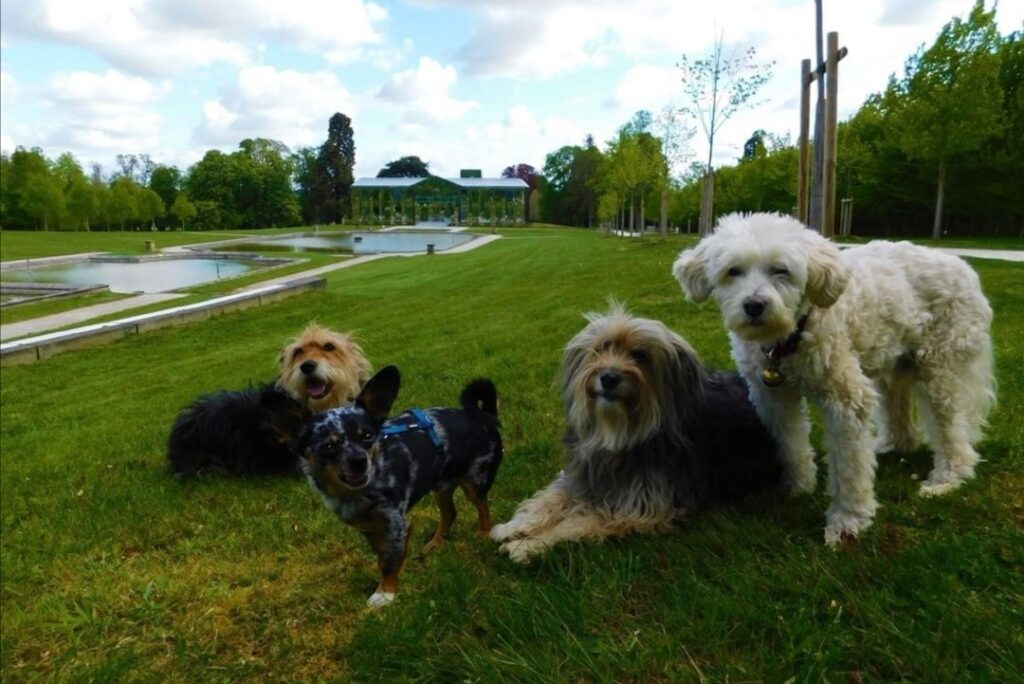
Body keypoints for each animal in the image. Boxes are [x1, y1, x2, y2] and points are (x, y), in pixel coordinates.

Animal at [262, 366, 501, 606]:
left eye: (367, 436)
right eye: (328, 446)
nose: (359, 461)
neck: (359, 493)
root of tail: (482, 415)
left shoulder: (398, 525)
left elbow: (390, 562)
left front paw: (385, 593)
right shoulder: (369, 529)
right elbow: (382, 555)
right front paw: (385, 575)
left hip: (475, 483)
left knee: (483, 508)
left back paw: (483, 534)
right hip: (441, 486)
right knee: (450, 513)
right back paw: (435, 542)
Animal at [671, 214, 991, 544]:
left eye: (781, 270)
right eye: (733, 271)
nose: (754, 306)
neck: (790, 335)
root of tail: (964, 267)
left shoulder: (846, 401)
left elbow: (850, 468)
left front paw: (848, 522)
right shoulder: (773, 397)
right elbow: (791, 445)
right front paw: (797, 488)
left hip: (941, 371)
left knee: (952, 431)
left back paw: (947, 478)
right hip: (894, 368)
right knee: (901, 418)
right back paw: (890, 446)